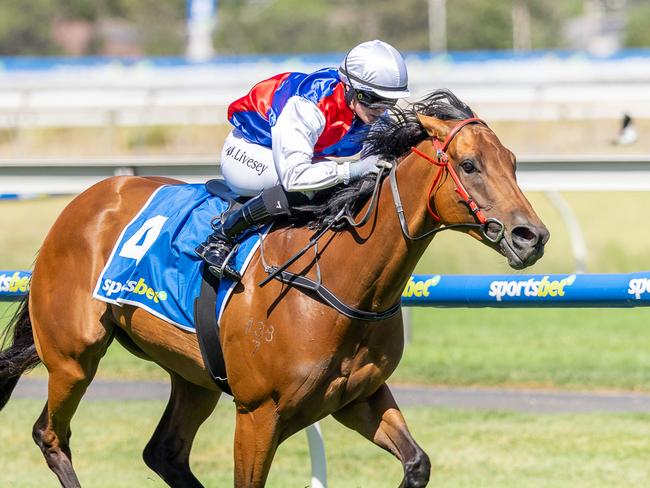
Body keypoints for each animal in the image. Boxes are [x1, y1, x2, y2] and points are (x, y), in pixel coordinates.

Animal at [0, 89, 548, 486]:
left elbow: (417, 463)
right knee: (50, 434)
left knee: (164, 453)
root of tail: (83, 201)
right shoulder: (258, 414)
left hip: (195, 377)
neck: (337, 284)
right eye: (470, 165)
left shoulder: (357, 398)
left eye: (513, 161)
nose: (532, 236)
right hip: (74, 356)